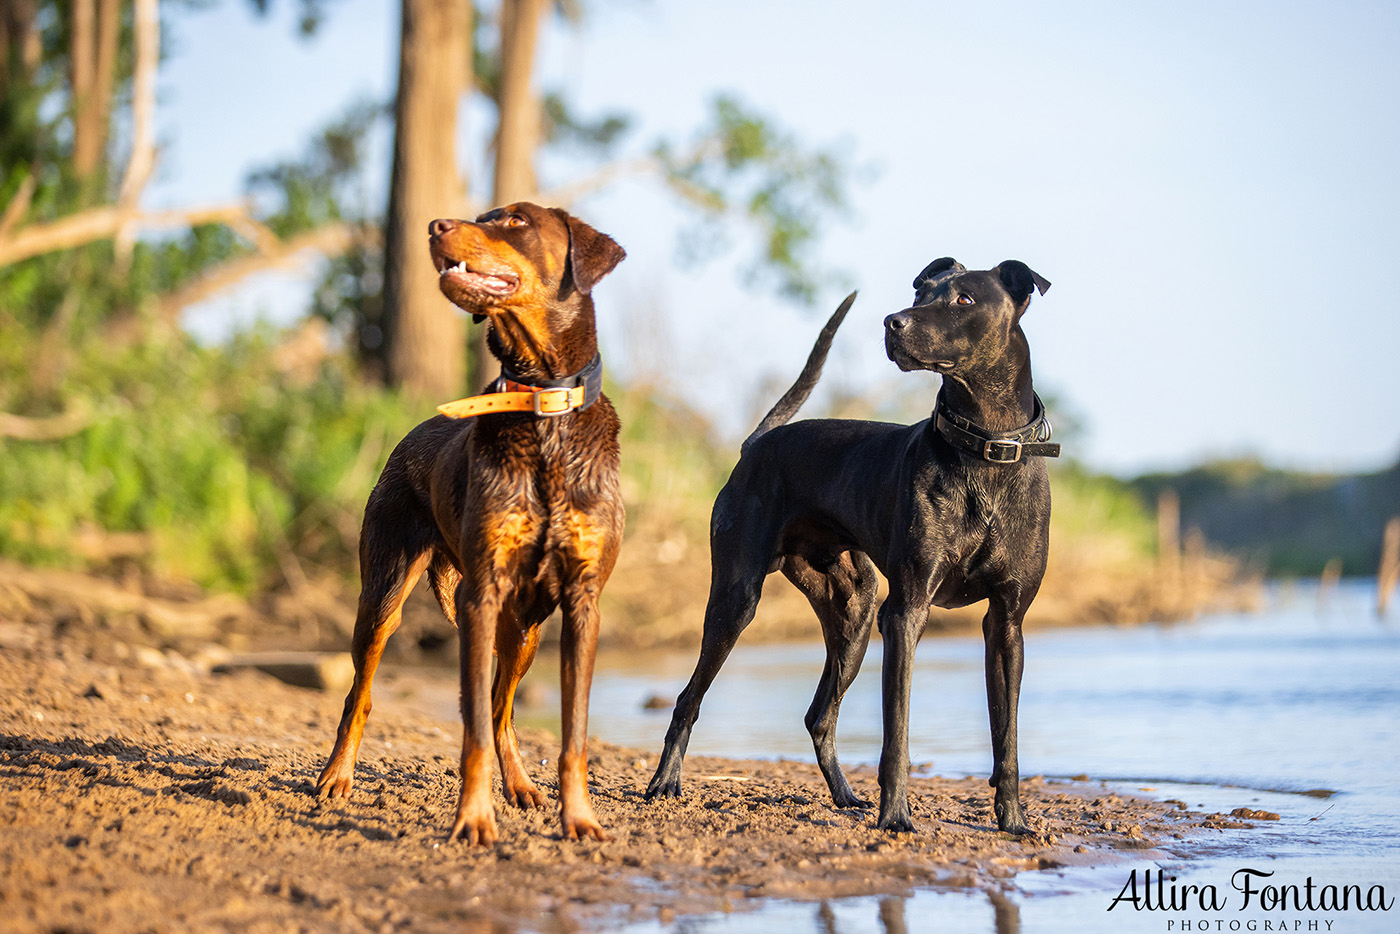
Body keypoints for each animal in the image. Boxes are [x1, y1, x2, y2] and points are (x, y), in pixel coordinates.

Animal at [317, 201, 630, 845]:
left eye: (515, 221)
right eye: (484, 215)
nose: (436, 226)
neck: (542, 405)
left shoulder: (582, 600)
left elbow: (571, 732)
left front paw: (579, 818)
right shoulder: (481, 592)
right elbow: (474, 733)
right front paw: (474, 819)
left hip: (527, 627)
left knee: (502, 704)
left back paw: (522, 785)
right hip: (384, 595)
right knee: (363, 694)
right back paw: (336, 776)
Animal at [641, 259, 1052, 834]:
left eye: (965, 299)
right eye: (922, 292)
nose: (893, 322)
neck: (985, 452)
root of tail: (756, 444)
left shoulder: (1007, 622)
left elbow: (1006, 735)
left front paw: (1013, 821)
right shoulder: (905, 613)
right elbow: (897, 732)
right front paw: (896, 816)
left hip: (855, 614)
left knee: (819, 716)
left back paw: (845, 796)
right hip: (737, 601)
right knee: (687, 699)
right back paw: (664, 782)